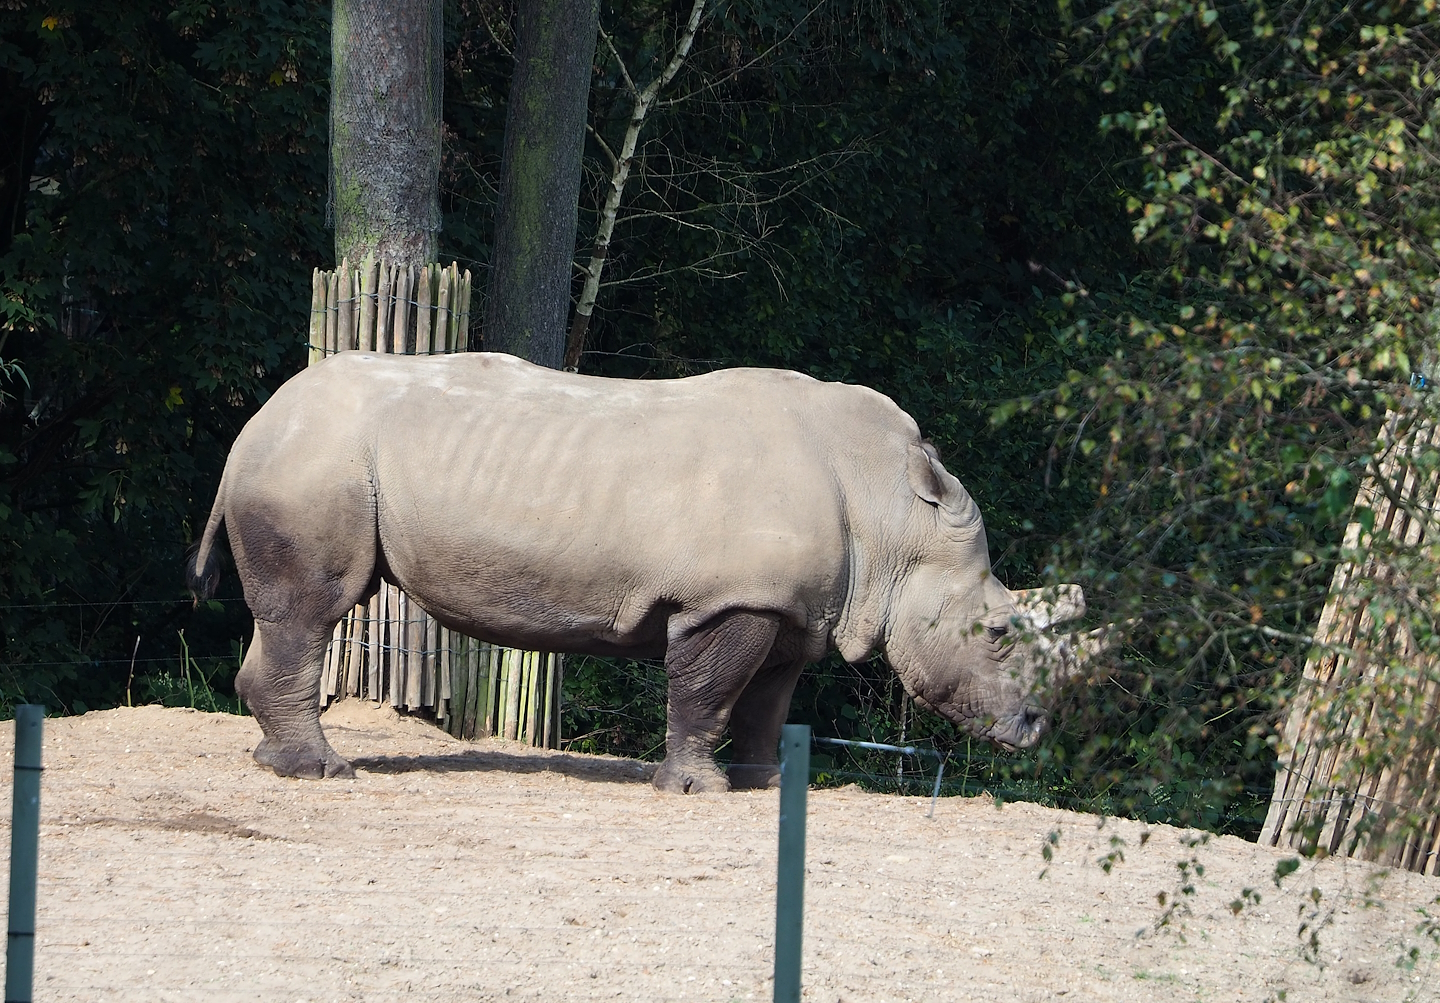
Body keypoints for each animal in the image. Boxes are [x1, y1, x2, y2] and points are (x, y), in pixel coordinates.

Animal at [188, 352, 1103, 791]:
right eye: (997, 634)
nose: (1034, 730)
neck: (894, 514)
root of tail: (253, 422)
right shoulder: (729, 599)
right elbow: (708, 691)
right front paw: (696, 789)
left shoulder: (792, 610)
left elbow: (769, 702)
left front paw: (768, 784)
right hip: (315, 461)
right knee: (314, 608)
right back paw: (324, 774)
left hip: (314, 456)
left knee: (293, 617)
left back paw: (277, 761)